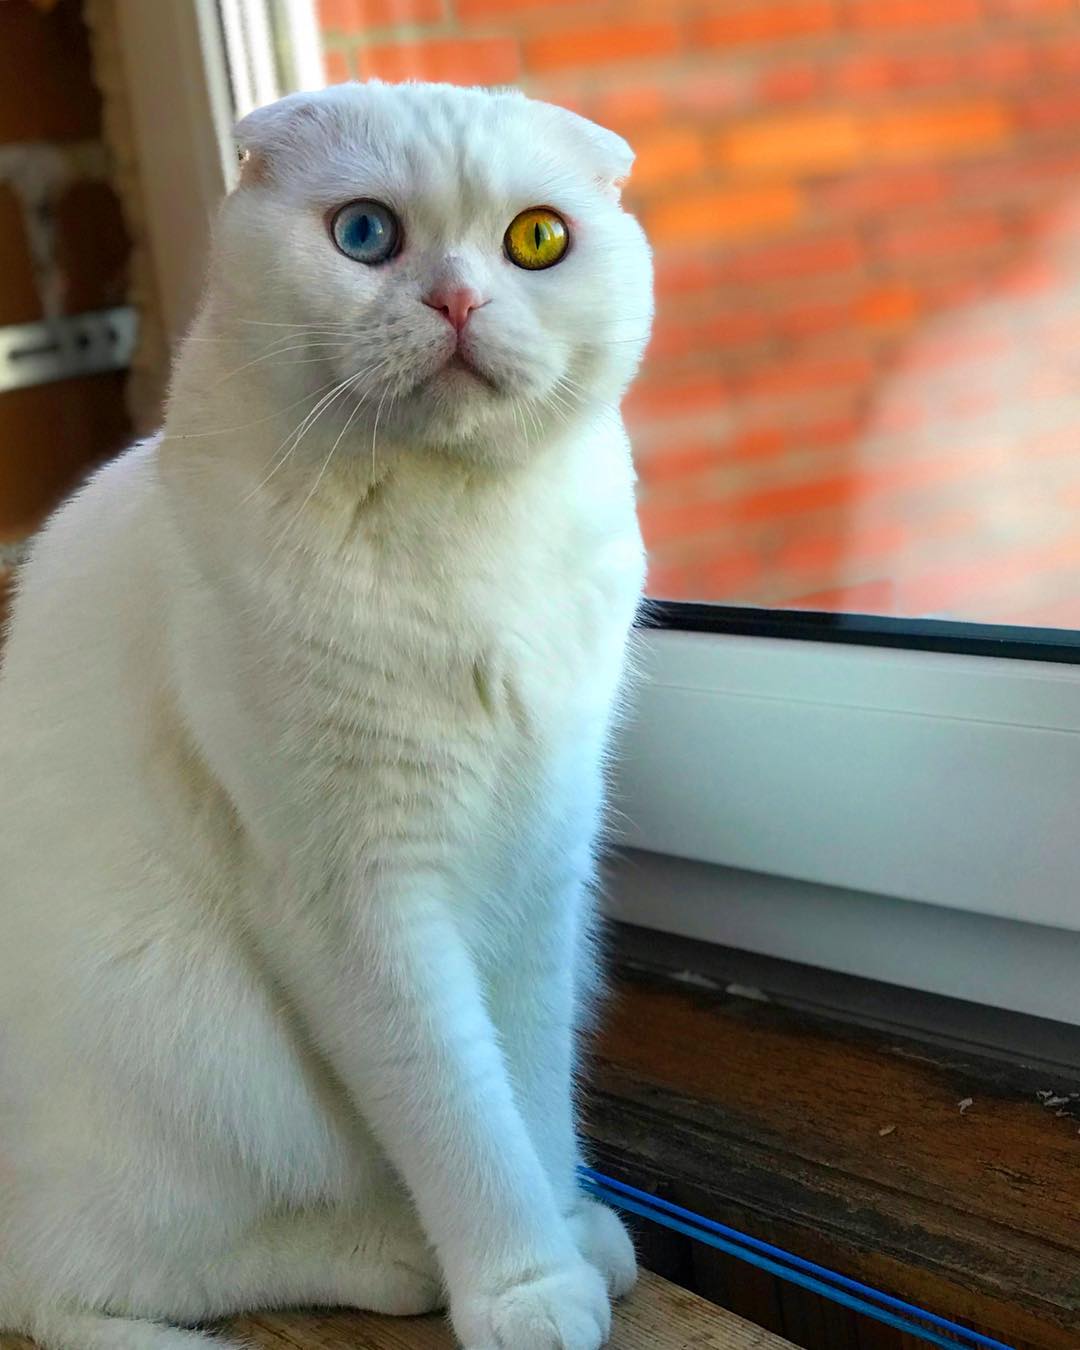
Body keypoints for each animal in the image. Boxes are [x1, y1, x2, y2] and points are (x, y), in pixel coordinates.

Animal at [0, 81, 650, 1350]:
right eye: (365, 235)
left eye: (537, 239)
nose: (457, 298)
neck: (461, 532)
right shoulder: (357, 894)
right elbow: (460, 1114)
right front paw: (525, 1287)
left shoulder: (538, 868)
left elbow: (531, 1089)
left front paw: (566, 1226)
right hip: (186, 1042)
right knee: (85, 1282)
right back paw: (390, 1254)